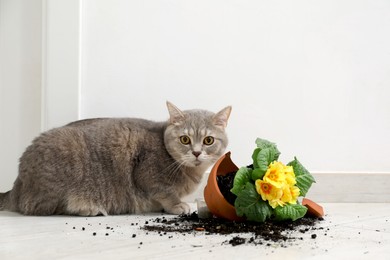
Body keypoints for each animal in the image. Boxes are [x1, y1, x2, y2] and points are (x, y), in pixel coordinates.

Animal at [0, 102, 232, 216]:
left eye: (208, 140)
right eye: (185, 139)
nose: (196, 152)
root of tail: (17, 186)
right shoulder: (147, 174)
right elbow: (165, 192)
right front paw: (177, 205)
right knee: (42, 207)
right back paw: (89, 208)